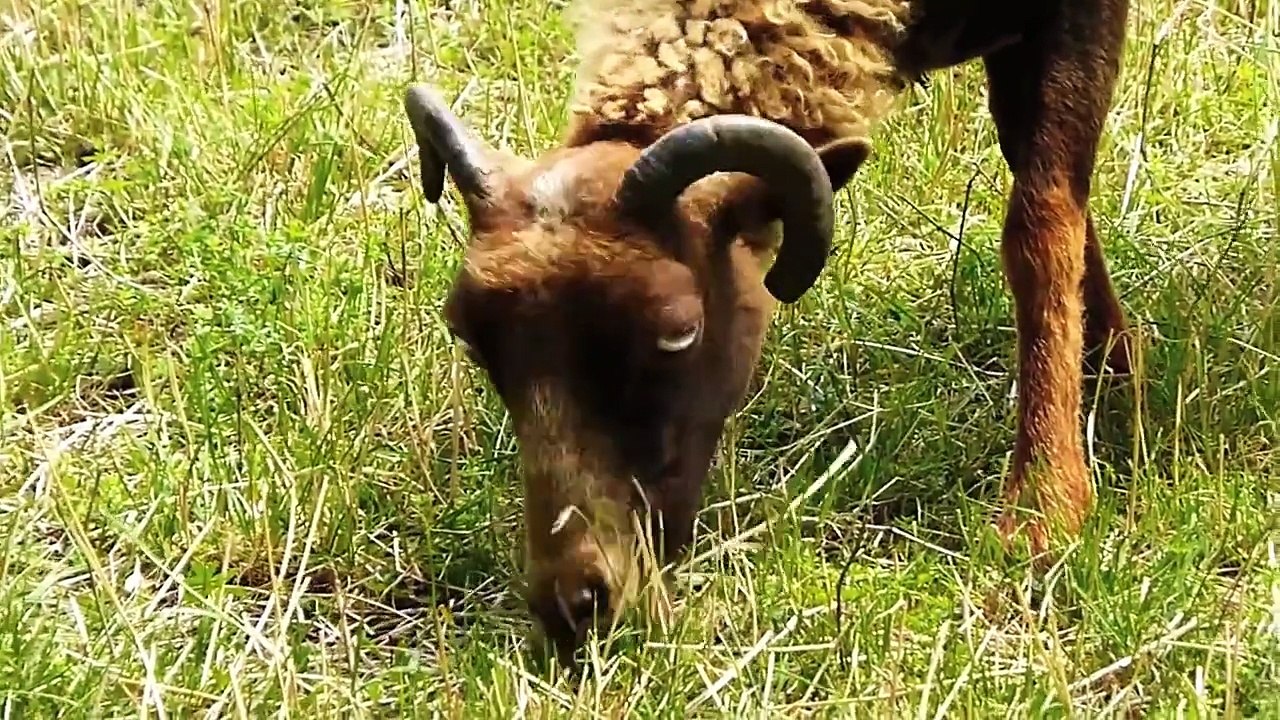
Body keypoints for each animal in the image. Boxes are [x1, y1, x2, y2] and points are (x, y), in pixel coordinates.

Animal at [403, 0, 1133, 668]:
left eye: (680, 331)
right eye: (469, 337)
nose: (575, 604)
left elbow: (1041, 220)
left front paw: (1044, 507)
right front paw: (1113, 370)